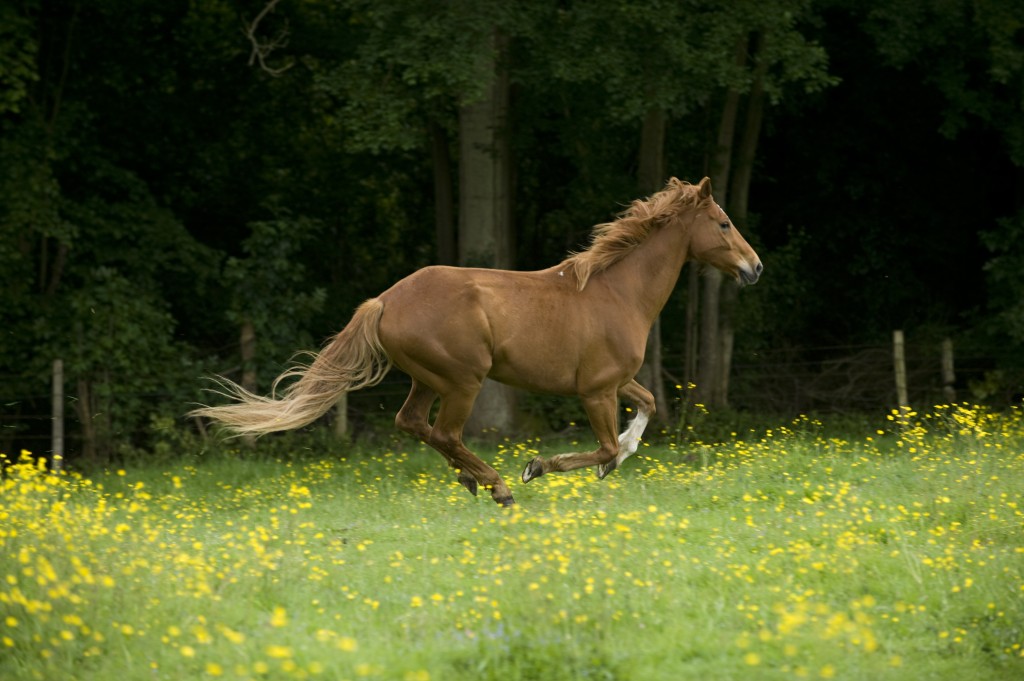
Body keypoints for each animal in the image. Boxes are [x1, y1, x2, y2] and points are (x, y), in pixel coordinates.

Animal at [189, 177, 762, 506]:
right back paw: (499, 486)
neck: (617, 292)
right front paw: (539, 466)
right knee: (443, 432)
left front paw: (619, 457)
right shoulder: (596, 390)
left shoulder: (619, 382)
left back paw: (473, 480)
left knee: (413, 424)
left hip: (429, 380)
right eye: (723, 222)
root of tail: (384, 301)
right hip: (463, 380)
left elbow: (646, 410)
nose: (755, 267)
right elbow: (599, 445)